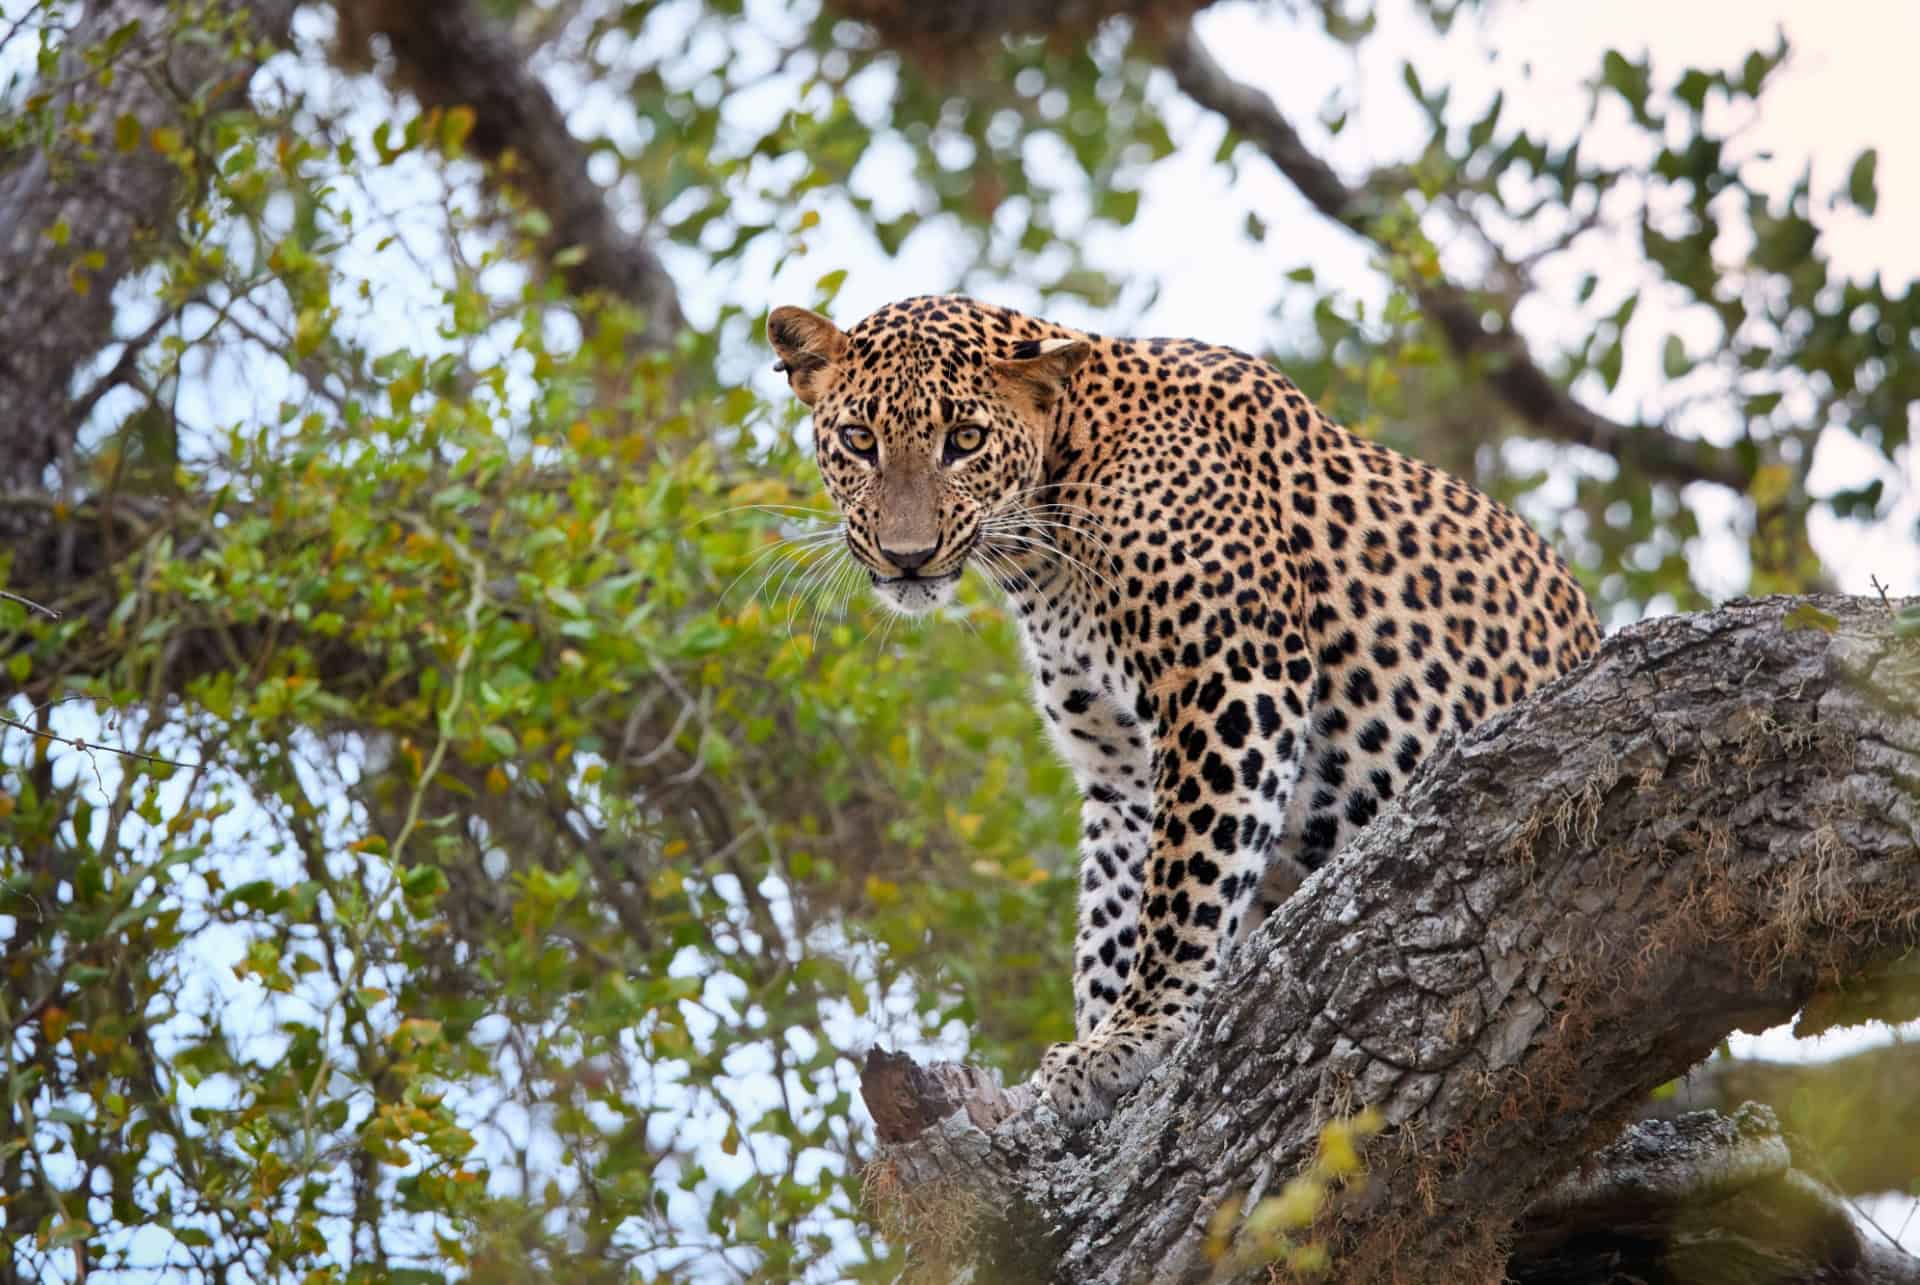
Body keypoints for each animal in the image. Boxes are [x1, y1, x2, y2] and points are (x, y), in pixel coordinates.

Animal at [767, 294, 1601, 1126]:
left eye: (964, 440)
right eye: (859, 439)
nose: (906, 556)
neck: (1044, 545)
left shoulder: (1233, 677)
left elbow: (1188, 883)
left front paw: (1135, 1035)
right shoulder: (1119, 768)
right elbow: (1115, 913)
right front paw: (1098, 1040)